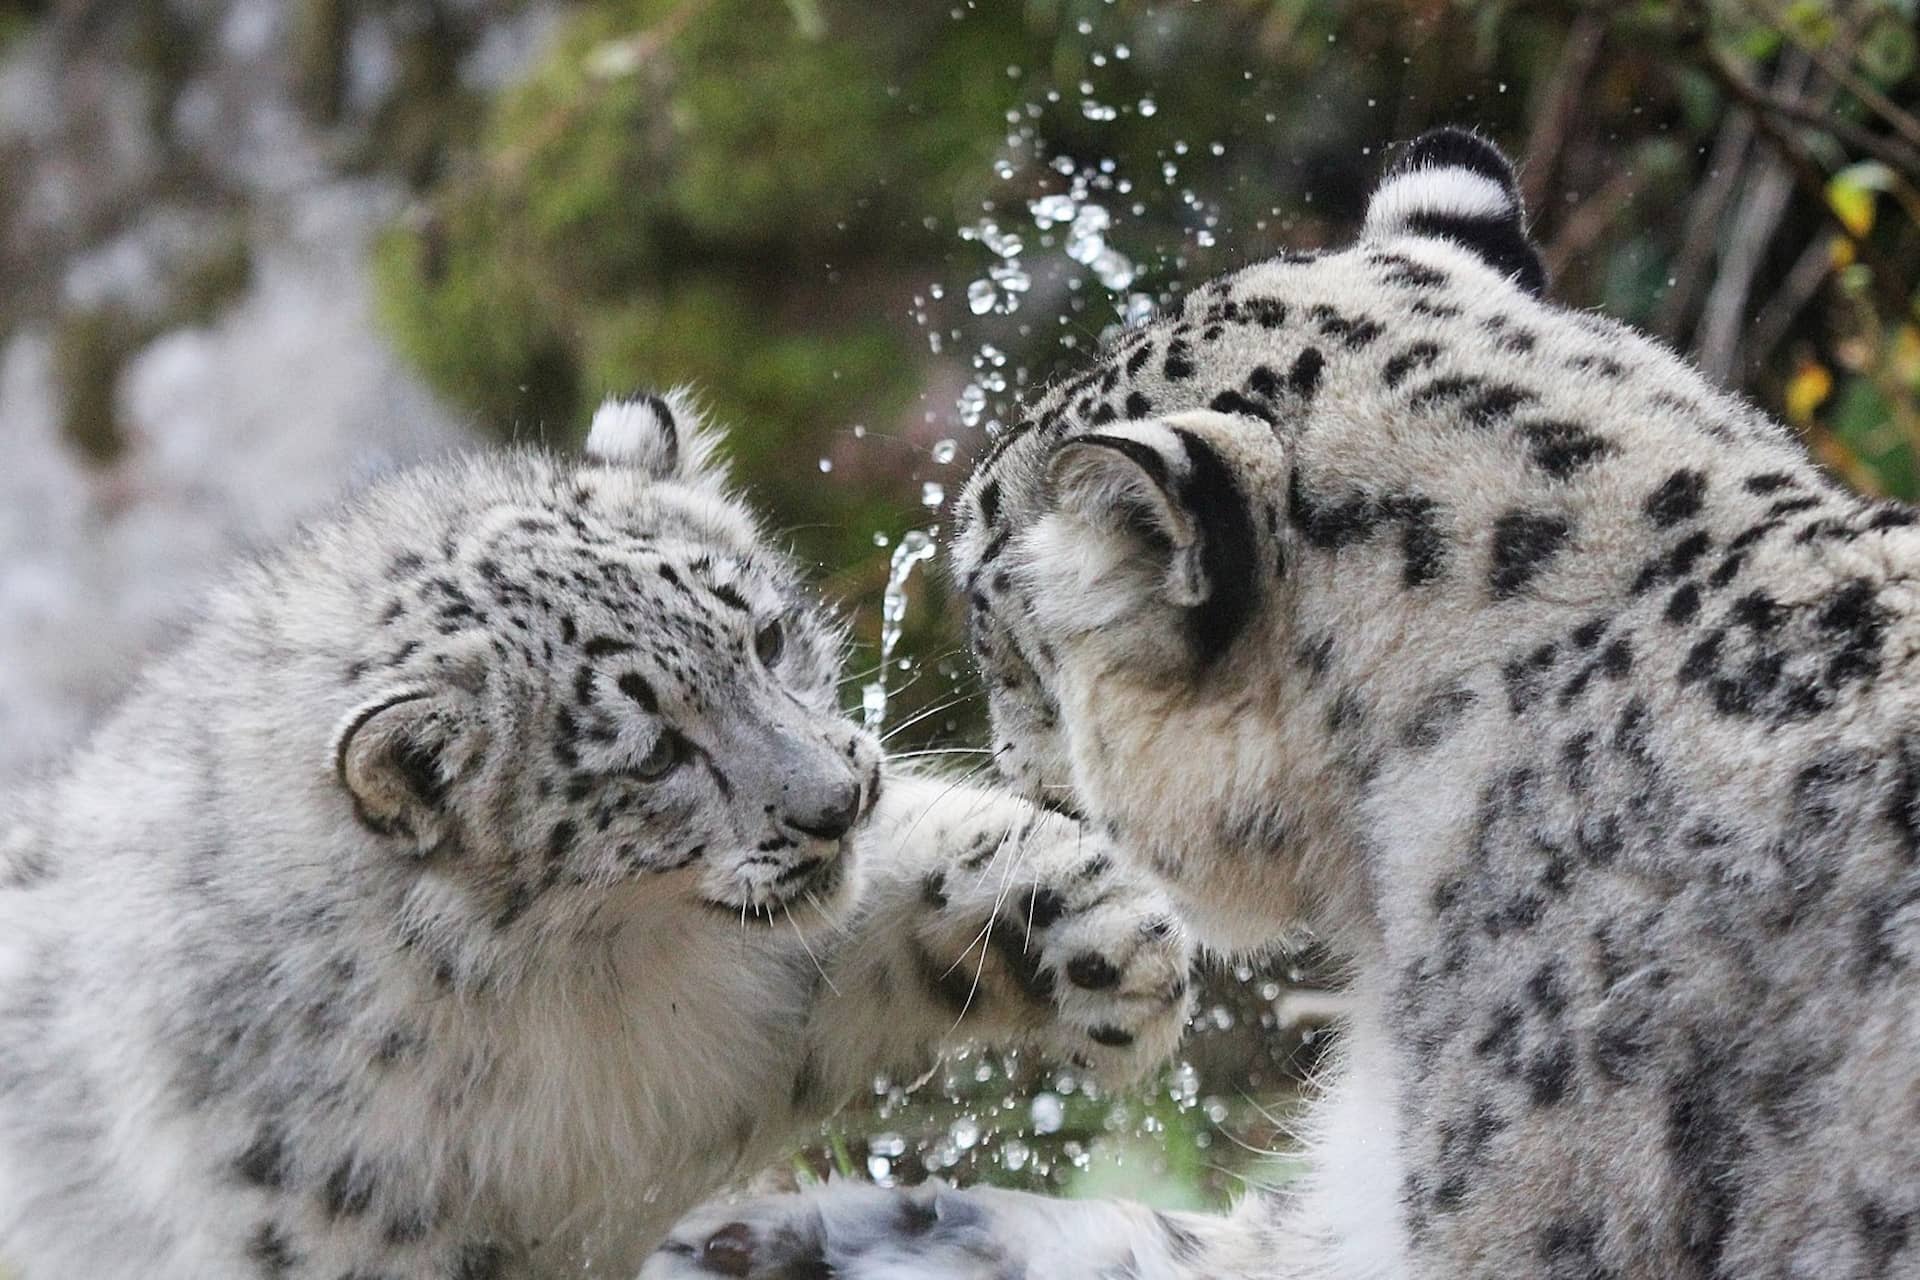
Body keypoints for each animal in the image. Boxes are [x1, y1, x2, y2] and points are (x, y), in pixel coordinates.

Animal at [0, 390, 1195, 1280]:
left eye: (766, 638)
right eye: (655, 752)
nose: (838, 800)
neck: (582, 1002)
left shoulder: (724, 1048)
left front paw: (1109, 926)